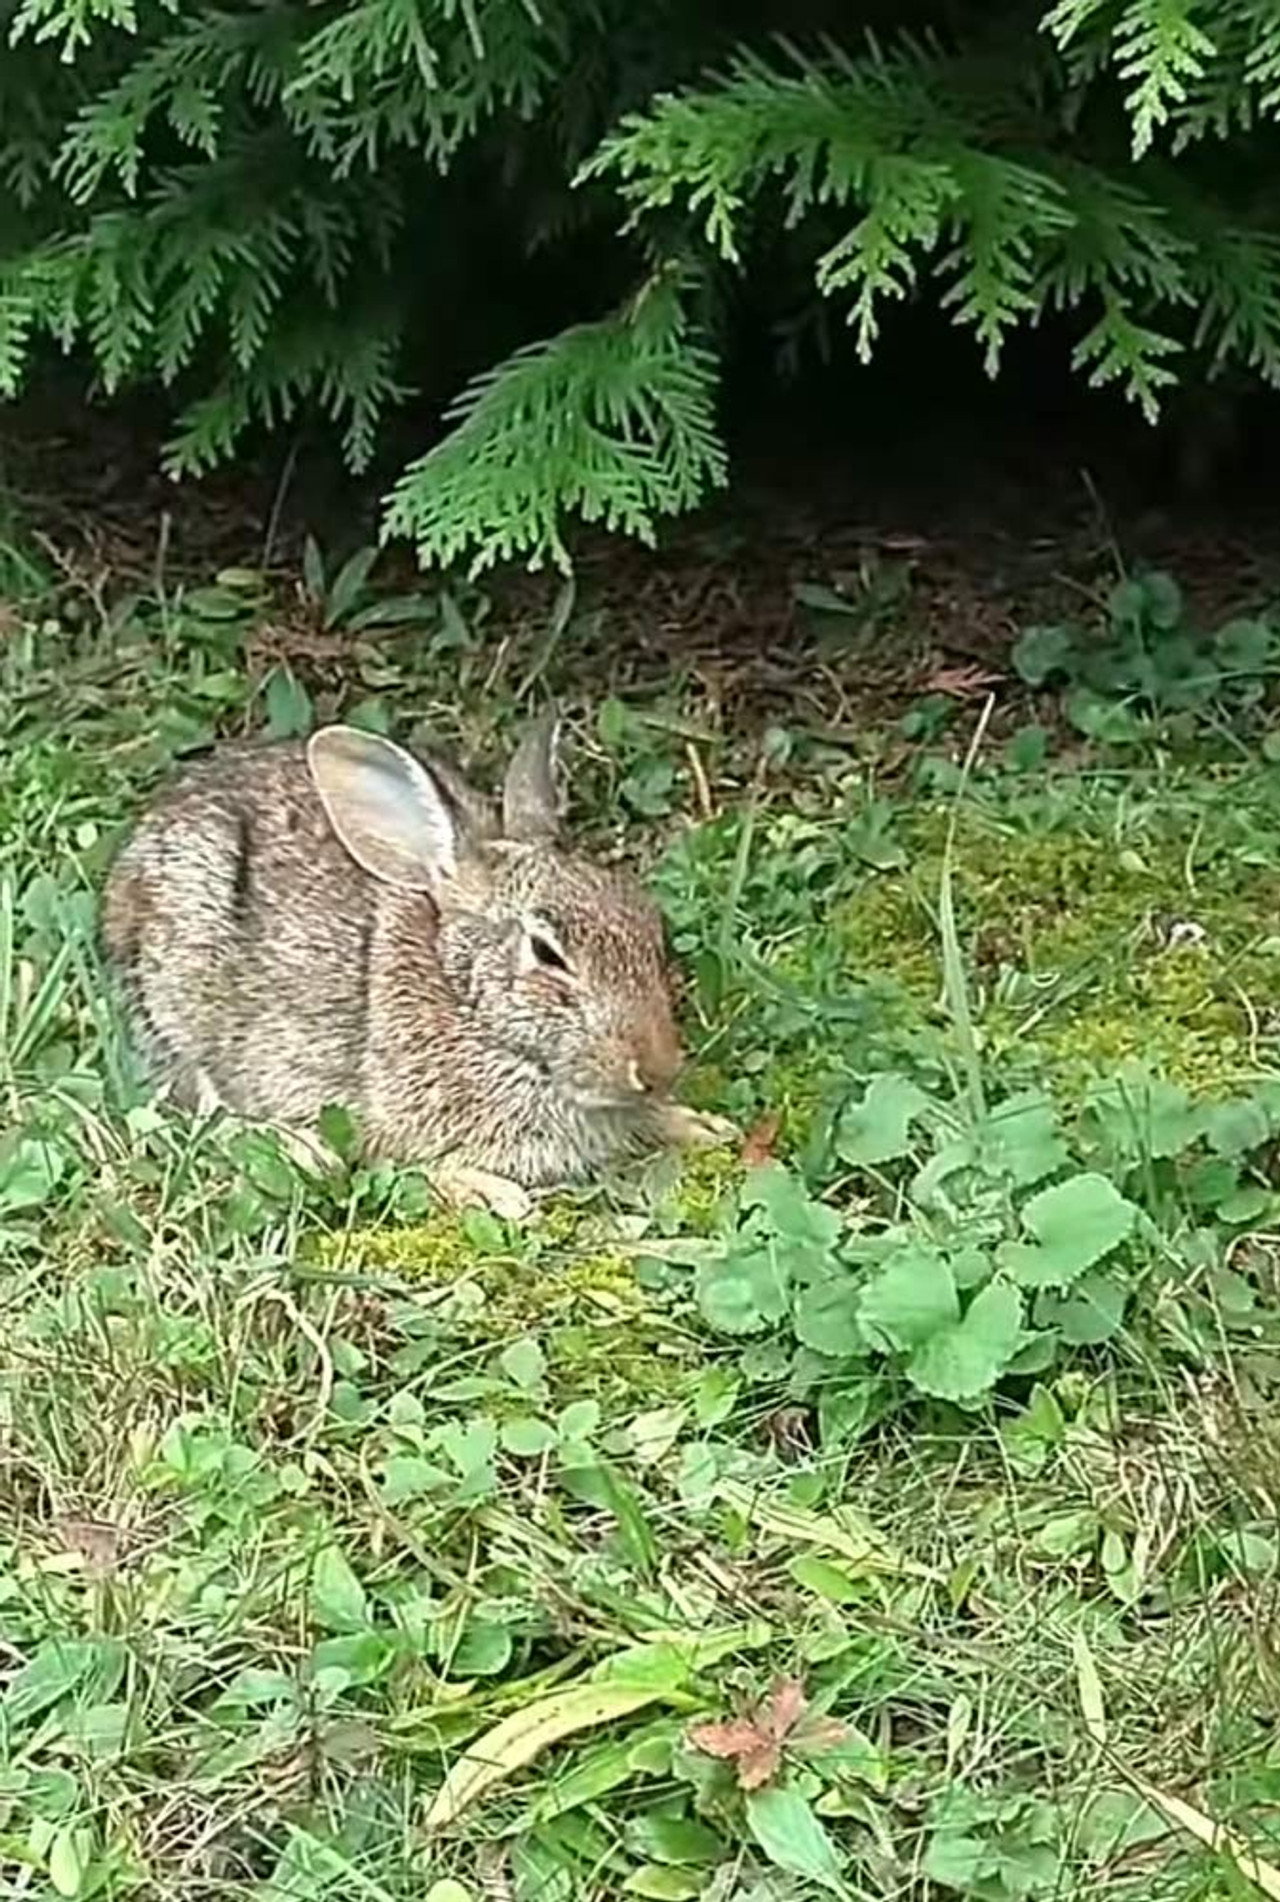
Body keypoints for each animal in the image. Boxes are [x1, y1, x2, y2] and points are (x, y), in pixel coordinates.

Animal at [101, 710, 736, 1215]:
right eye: (547, 954)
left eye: (650, 923)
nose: (658, 1070)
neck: (474, 1011)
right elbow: (410, 1166)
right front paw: (494, 1195)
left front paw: (701, 1126)